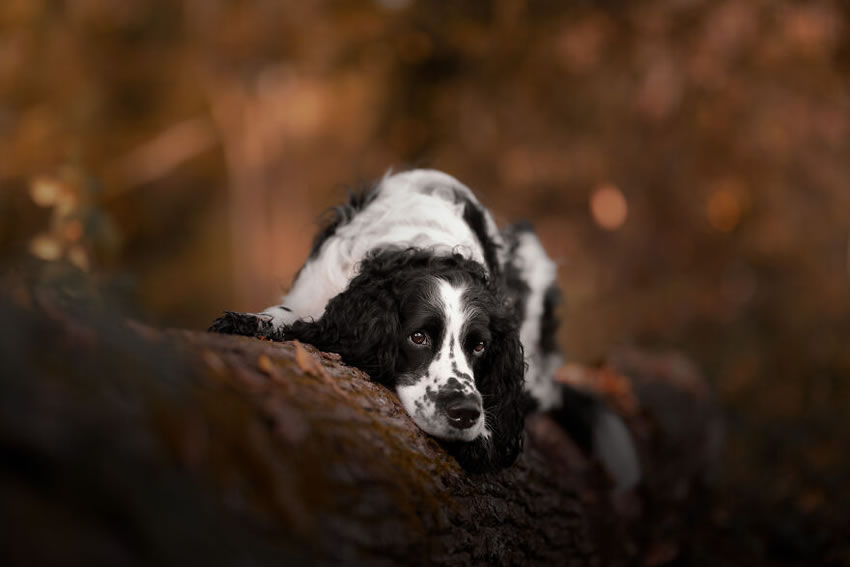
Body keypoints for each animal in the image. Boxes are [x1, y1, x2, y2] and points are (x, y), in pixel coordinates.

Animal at [210, 169, 636, 488]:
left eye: (479, 346)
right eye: (418, 337)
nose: (464, 413)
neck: (420, 246)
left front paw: (484, 436)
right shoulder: (316, 288)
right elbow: (286, 314)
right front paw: (249, 321)